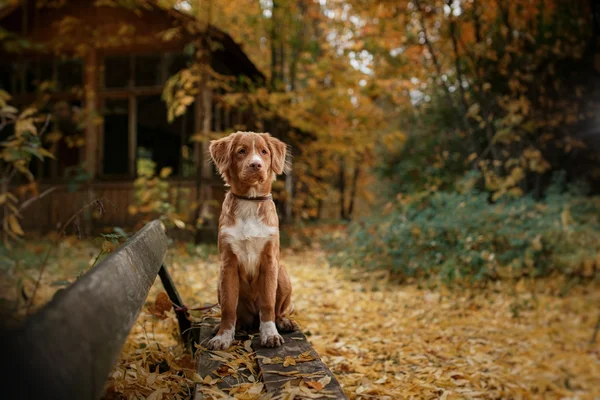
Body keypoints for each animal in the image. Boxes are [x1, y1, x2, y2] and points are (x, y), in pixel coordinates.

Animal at [206, 132, 298, 350]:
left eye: (264, 152)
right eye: (241, 151)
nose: (256, 165)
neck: (250, 201)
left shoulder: (270, 261)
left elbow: (268, 304)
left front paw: (270, 334)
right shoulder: (228, 263)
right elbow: (228, 307)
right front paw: (223, 336)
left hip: (283, 272)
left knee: (278, 310)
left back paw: (283, 322)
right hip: (219, 282)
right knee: (238, 315)